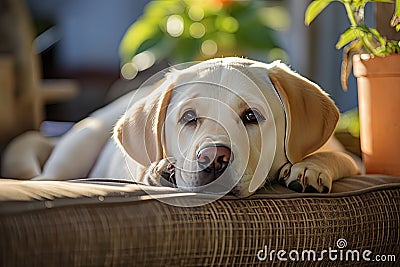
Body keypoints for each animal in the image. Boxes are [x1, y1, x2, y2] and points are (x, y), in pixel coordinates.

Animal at [1, 57, 360, 198]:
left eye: (251, 116)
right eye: (188, 118)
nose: (213, 157)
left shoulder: (351, 157)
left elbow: (337, 157)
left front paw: (309, 168)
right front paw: (164, 170)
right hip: (80, 144)